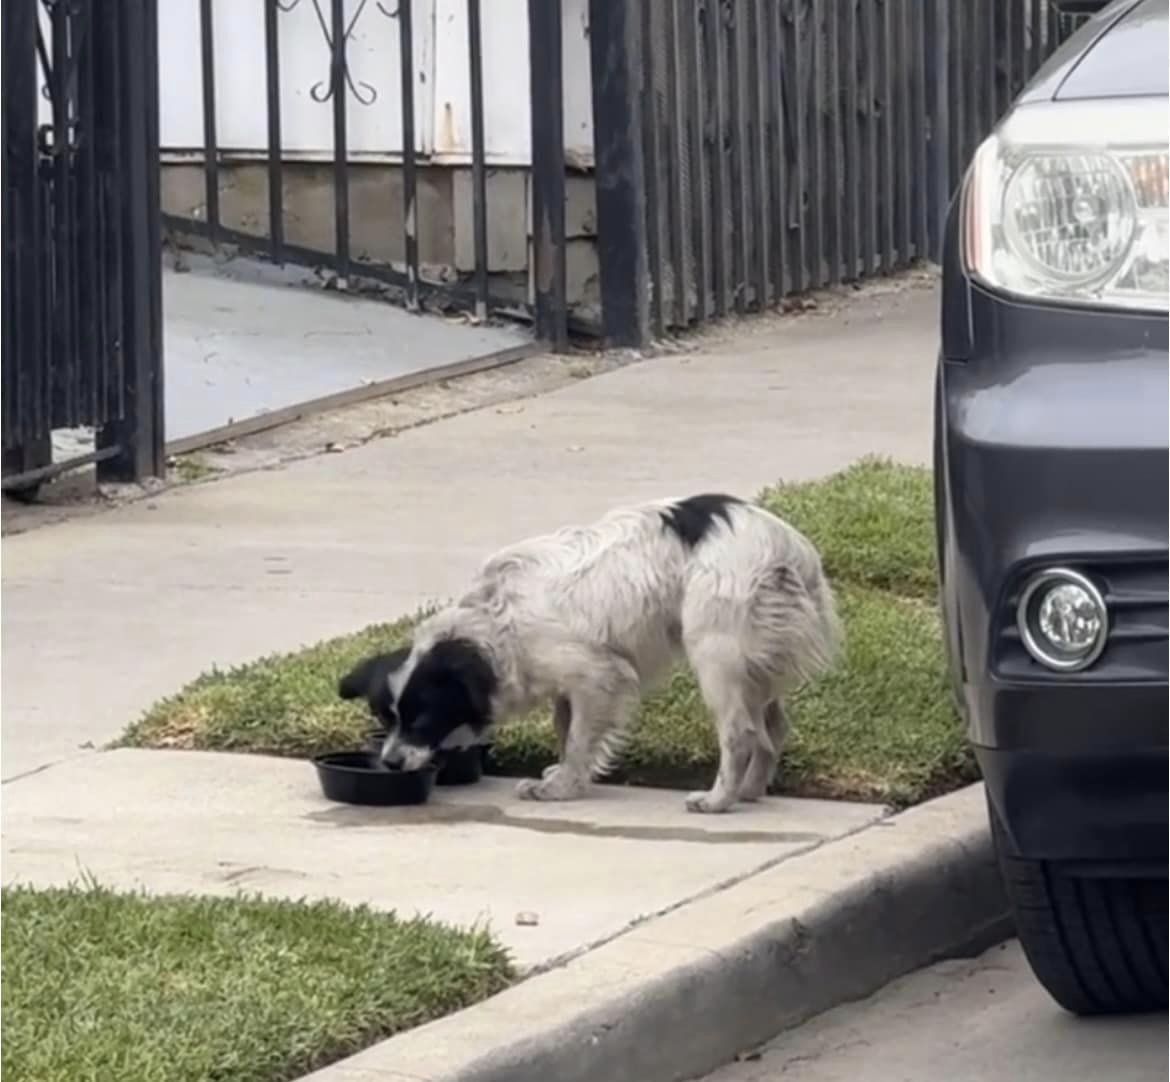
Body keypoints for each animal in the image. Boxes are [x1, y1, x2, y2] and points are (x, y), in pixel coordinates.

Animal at [339, 488, 842, 809]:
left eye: (422, 720)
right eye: (385, 719)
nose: (390, 763)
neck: (495, 623)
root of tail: (790, 547)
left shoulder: (597, 674)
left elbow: (580, 736)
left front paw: (563, 787)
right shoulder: (568, 683)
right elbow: (565, 729)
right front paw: (562, 774)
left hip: (716, 650)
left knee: (741, 733)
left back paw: (719, 800)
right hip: (754, 660)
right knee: (772, 728)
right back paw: (751, 791)